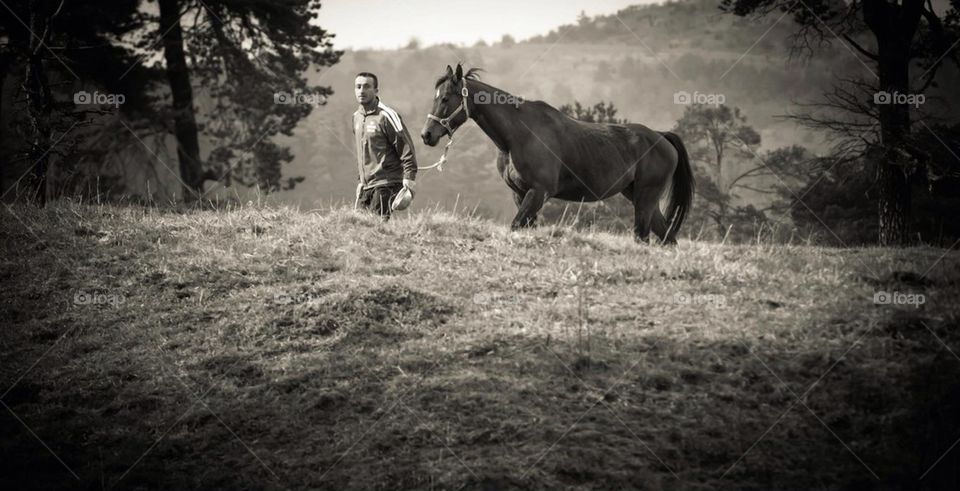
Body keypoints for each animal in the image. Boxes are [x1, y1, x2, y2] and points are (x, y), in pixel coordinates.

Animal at [420, 64, 694, 245]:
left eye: (446, 98)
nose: (427, 134)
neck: (519, 135)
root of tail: (661, 136)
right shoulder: (520, 194)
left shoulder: (539, 192)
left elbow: (516, 226)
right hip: (641, 197)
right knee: (668, 237)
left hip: (645, 199)